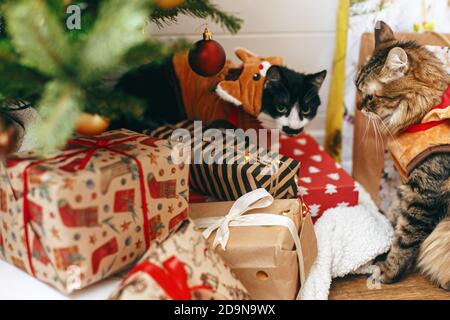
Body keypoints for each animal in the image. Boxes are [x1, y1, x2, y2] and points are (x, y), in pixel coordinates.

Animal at [356, 21, 450, 288]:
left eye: (370, 97)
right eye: (356, 87)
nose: (359, 107)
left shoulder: (424, 191)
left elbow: (406, 237)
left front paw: (388, 270)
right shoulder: (408, 185)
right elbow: (395, 216)